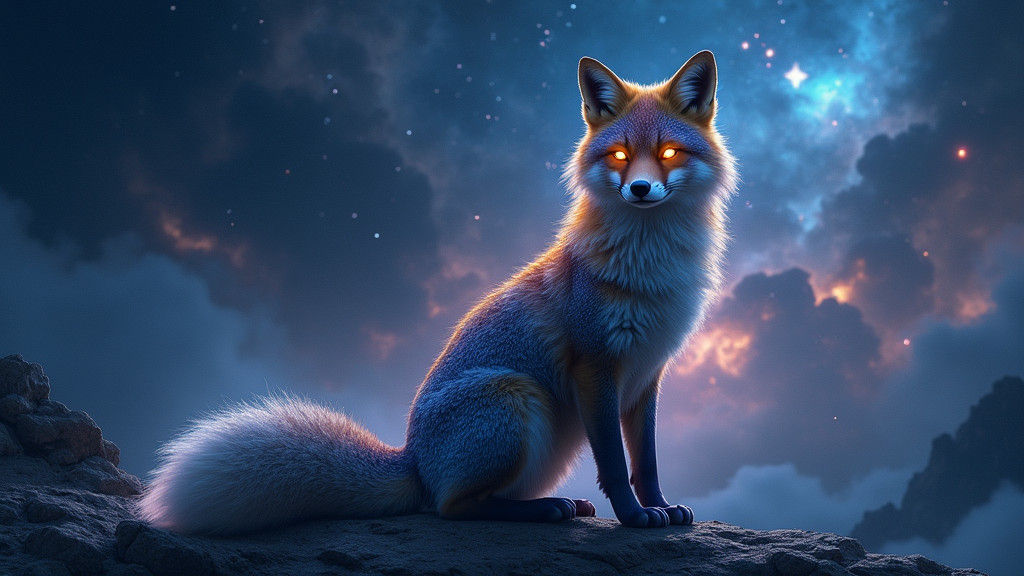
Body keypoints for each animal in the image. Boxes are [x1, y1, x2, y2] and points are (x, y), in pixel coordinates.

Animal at [139, 51, 737, 534]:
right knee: (450, 508)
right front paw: (634, 518)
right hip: (518, 397)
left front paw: (661, 508)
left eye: (668, 153)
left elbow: (647, 461)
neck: (651, 269)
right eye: (618, 156)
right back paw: (544, 509)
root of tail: (413, 459)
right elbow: (614, 464)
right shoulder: (596, 364)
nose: (640, 188)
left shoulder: (646, 374)